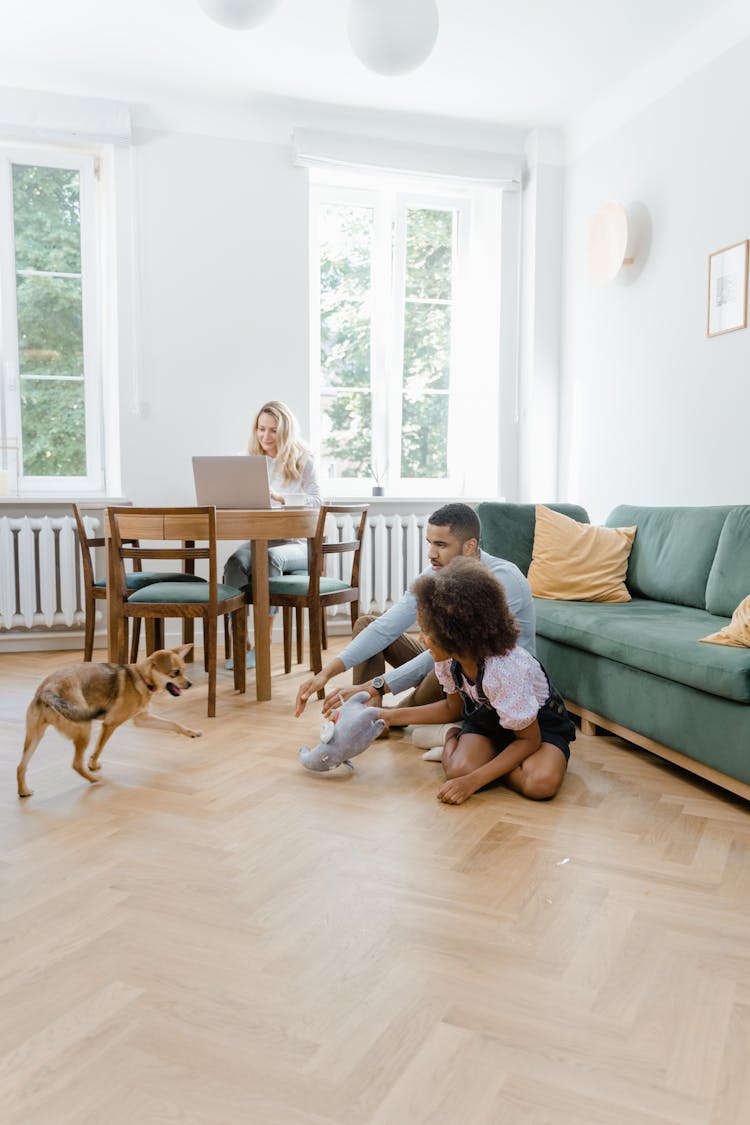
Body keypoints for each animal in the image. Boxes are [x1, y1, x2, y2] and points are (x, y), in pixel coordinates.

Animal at [18, 648, 202, 796]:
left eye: (184, 671)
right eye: (175, 672)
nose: (190, 683)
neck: (140, 677)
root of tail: (48, 689)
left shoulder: (142, 719)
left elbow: (173, 724)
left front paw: (191, 732)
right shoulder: (110, 724)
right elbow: (99, 748)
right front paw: (92, 765)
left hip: (34, 738)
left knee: (21, 767)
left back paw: (23, 791)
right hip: (84, 729)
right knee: (76, 764)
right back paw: (94, 779)